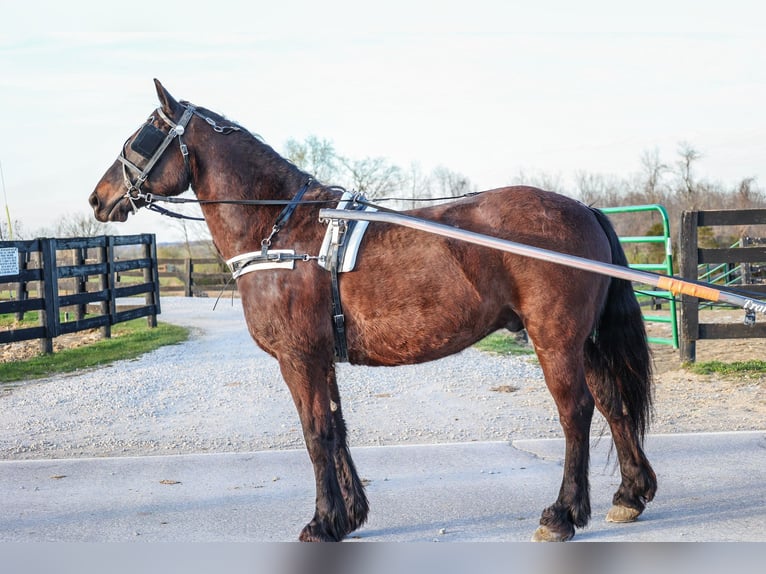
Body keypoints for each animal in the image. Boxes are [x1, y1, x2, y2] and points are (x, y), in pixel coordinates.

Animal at [87, 81, 656, 544]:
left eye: (142, 137)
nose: (98, 198)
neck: (285, 229)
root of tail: (584, 209)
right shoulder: (321, 358)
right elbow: (335, 428)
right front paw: (348, 516)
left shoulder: (298, 358)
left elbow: (315, 434)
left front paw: (322, 522)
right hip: (582, 341)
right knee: (611, 403)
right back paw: (630, 494)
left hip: (554, 339)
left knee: (576, 411)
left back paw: (562, 513)